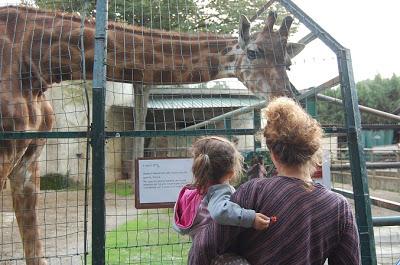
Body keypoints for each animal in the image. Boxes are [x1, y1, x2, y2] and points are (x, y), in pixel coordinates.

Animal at [0, 5, 304, 262]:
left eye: (288, 62)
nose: (287, 100)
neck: (38, 66)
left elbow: (35, 251)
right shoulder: (5, 154)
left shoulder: (28, 161)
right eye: (253, 52)